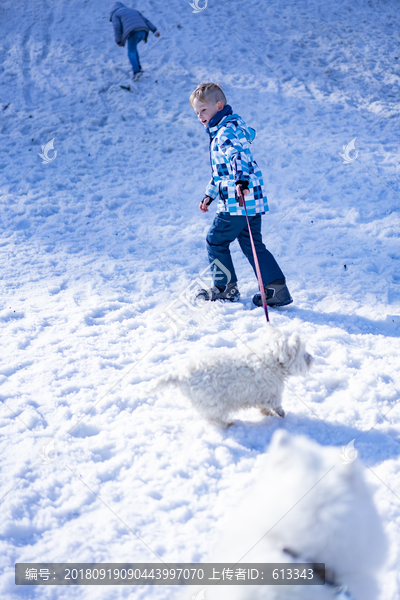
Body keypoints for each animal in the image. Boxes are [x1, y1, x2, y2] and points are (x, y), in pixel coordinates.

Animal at [153, 328, 312, 426]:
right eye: (303, 353)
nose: (312, 358)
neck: (273, 358)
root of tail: (180, 375)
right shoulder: (273, 394)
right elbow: (277, 406)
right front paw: (282, 416)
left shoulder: (261, 395)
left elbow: (264, 407)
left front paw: (267, 414)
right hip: (214, 405)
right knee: (215, 420)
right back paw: (229, 424)